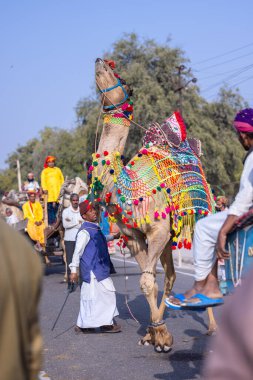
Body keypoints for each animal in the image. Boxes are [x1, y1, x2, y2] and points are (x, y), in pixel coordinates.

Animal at [87, 58, 215, 352]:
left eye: (119, 76)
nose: (99, 61)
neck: (124, 185)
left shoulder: (157, 230)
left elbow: (146, 279)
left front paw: (163, 337)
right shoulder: (133, 236)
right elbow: (149, 281)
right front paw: (153, 333)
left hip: (201, 220)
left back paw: (213, 326)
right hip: (170, 236)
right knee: (170, 275)